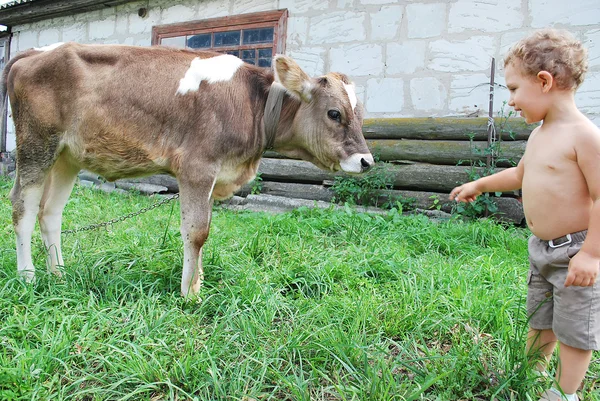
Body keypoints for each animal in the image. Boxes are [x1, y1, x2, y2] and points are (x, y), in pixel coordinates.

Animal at [2, 42, 372, 296]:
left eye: (360, 113)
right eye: (335, 113)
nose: (366, 161)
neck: (251, 102)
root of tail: (32, 53)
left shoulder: (213, 174)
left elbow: (204, 231)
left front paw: (198, 282)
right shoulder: (197, 167)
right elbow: (196, 232)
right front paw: (189, 293)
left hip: (67, 156)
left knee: (50, 213)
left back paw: (59, 274)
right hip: (37, 144)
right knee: (23, 206)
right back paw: (28, 277)